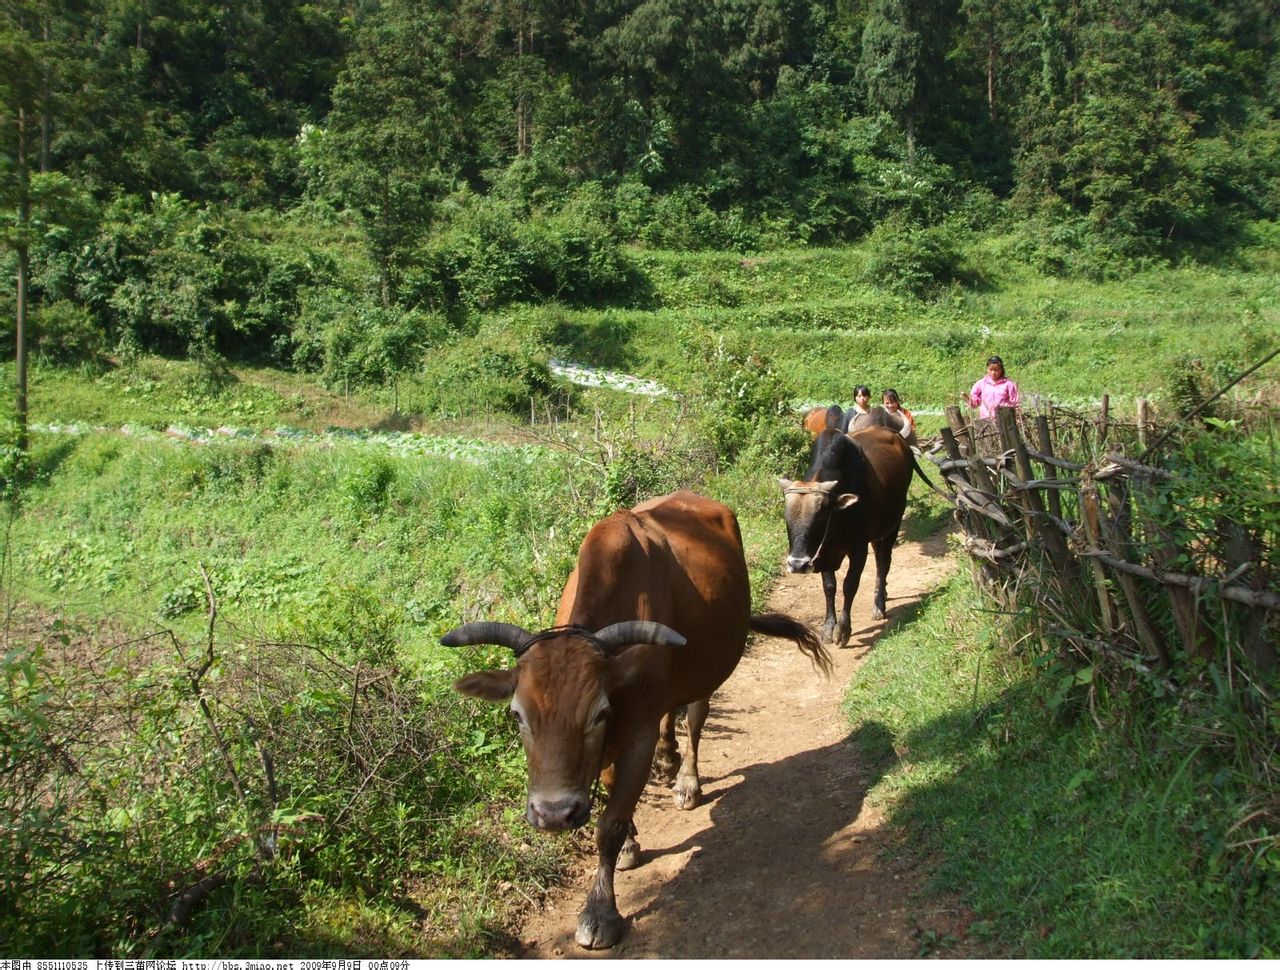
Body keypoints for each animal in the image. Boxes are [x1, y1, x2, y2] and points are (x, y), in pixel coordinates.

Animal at [442, 493, 829, 952]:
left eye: (598, 713)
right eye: (517, 714)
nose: (553, 814)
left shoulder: (633, 734)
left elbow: (609, 822)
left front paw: (599, 911)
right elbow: (613, 793)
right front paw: (630, 842)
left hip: (711, 667)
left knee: (694, 717)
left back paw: (686, 781)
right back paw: (667, 758)